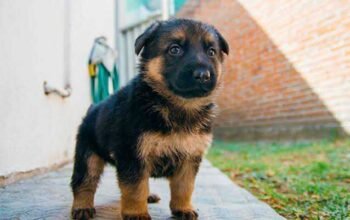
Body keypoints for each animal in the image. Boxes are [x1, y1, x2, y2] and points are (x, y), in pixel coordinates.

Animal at [71, 18, 230, 219]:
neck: (178, 106)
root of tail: (93, 107)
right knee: (84, 181)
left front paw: (183, 208)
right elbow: (134, 188)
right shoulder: (133, 156)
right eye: (175, 49)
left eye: (211, 52)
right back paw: (82, 207)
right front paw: (136, 213)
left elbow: (184, 187)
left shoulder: (190, 157)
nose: (203, 75)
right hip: (88, 156)